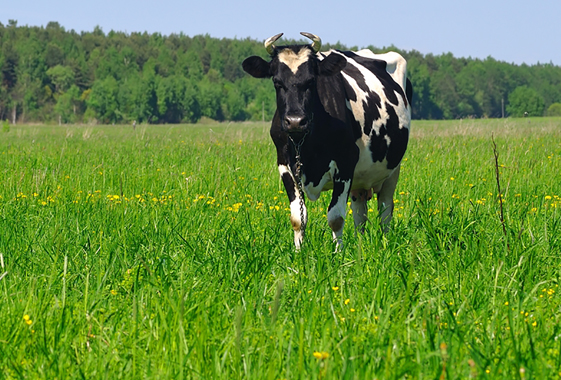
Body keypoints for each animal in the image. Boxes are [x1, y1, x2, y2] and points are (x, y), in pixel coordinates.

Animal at [242, 31, 412, 248]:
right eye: (277, 82)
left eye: (312, 81)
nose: (295, 121)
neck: (306, 144)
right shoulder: (284, 165)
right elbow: (298, 218)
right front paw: (298, 253)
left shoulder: (346, 163)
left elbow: (336, 217)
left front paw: (338, 254)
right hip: (361, 179)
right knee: (360, 215)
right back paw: (360, 245)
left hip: (392, 170)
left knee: (385, 211)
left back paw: (384, 244)